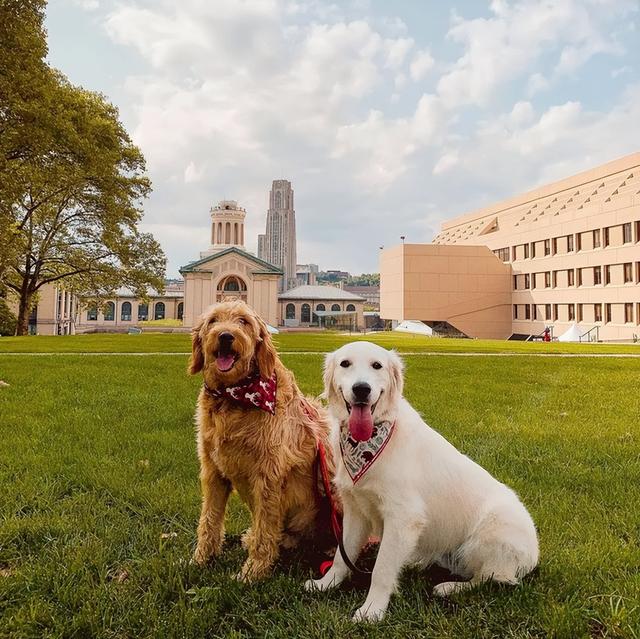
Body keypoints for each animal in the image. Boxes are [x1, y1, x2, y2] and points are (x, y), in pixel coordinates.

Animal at [188, 302, 332, 584]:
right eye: (213, 321)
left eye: (243, 321)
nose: (225, 336)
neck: (233, 397)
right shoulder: (213, 471)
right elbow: (209, 520)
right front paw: (199, 560)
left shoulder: (268, 476)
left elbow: (266, 529)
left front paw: (252, 573)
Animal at [306, 342, 540, 624]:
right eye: (345, 364)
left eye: (377, 365)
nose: (362, 389)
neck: (371, 444)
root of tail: (535, 554)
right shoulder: (356, 510)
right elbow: (343, 556)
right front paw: (326, 583)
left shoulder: (403, 516)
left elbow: (382, 568)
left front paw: (372, 610)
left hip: (488, 537)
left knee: (490, 577)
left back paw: (449, 587)